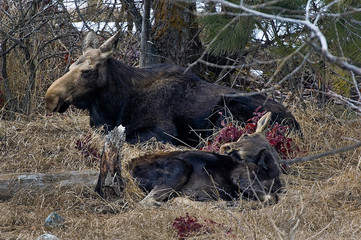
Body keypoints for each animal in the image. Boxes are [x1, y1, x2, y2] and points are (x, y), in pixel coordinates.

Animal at [45, 30, 300, 145]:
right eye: (71, 65)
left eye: (87, 71)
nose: (50, 98)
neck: (116, 106)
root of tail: (297, 126)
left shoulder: (163, 131)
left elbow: (126, 138)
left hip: (228, 108)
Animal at [97, 111, 282, 205]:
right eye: (244, 134)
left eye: (256, 151)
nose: (227, 147)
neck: (271, 175)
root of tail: (126, 169)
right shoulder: (240, 177)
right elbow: (270, 198)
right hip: (180, 169)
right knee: (147, 201)